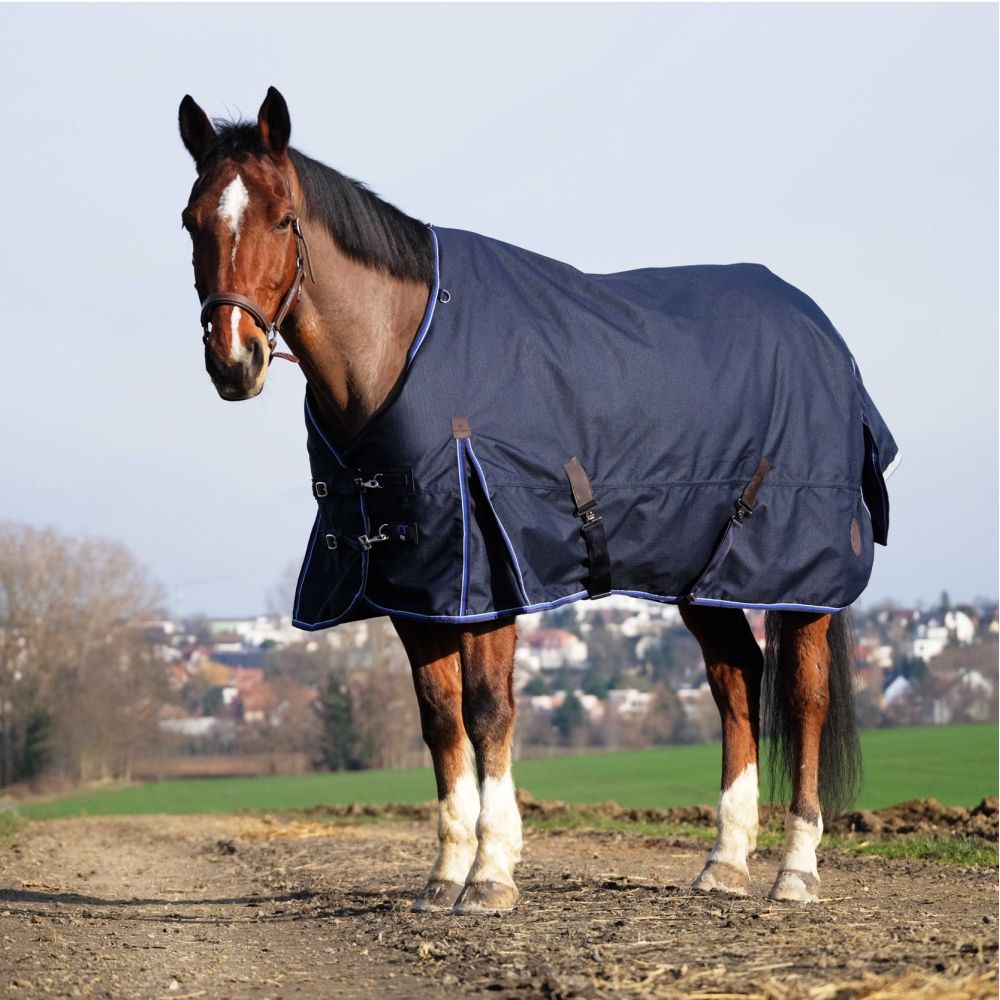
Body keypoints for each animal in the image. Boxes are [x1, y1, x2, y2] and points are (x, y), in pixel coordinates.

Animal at [178, 86, 896, 913]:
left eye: (281, 218)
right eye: (192, 220)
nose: (234, 359)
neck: (405, 348)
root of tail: (823, 334)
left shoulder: (489, 575)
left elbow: (489, 711)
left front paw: (491, 874)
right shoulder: (418, 587)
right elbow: (440, 720)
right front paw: (445, 876)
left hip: (796, 575)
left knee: (803, 699)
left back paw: (796, 870)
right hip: (704, 577)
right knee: (737, 683)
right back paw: (724, 862)